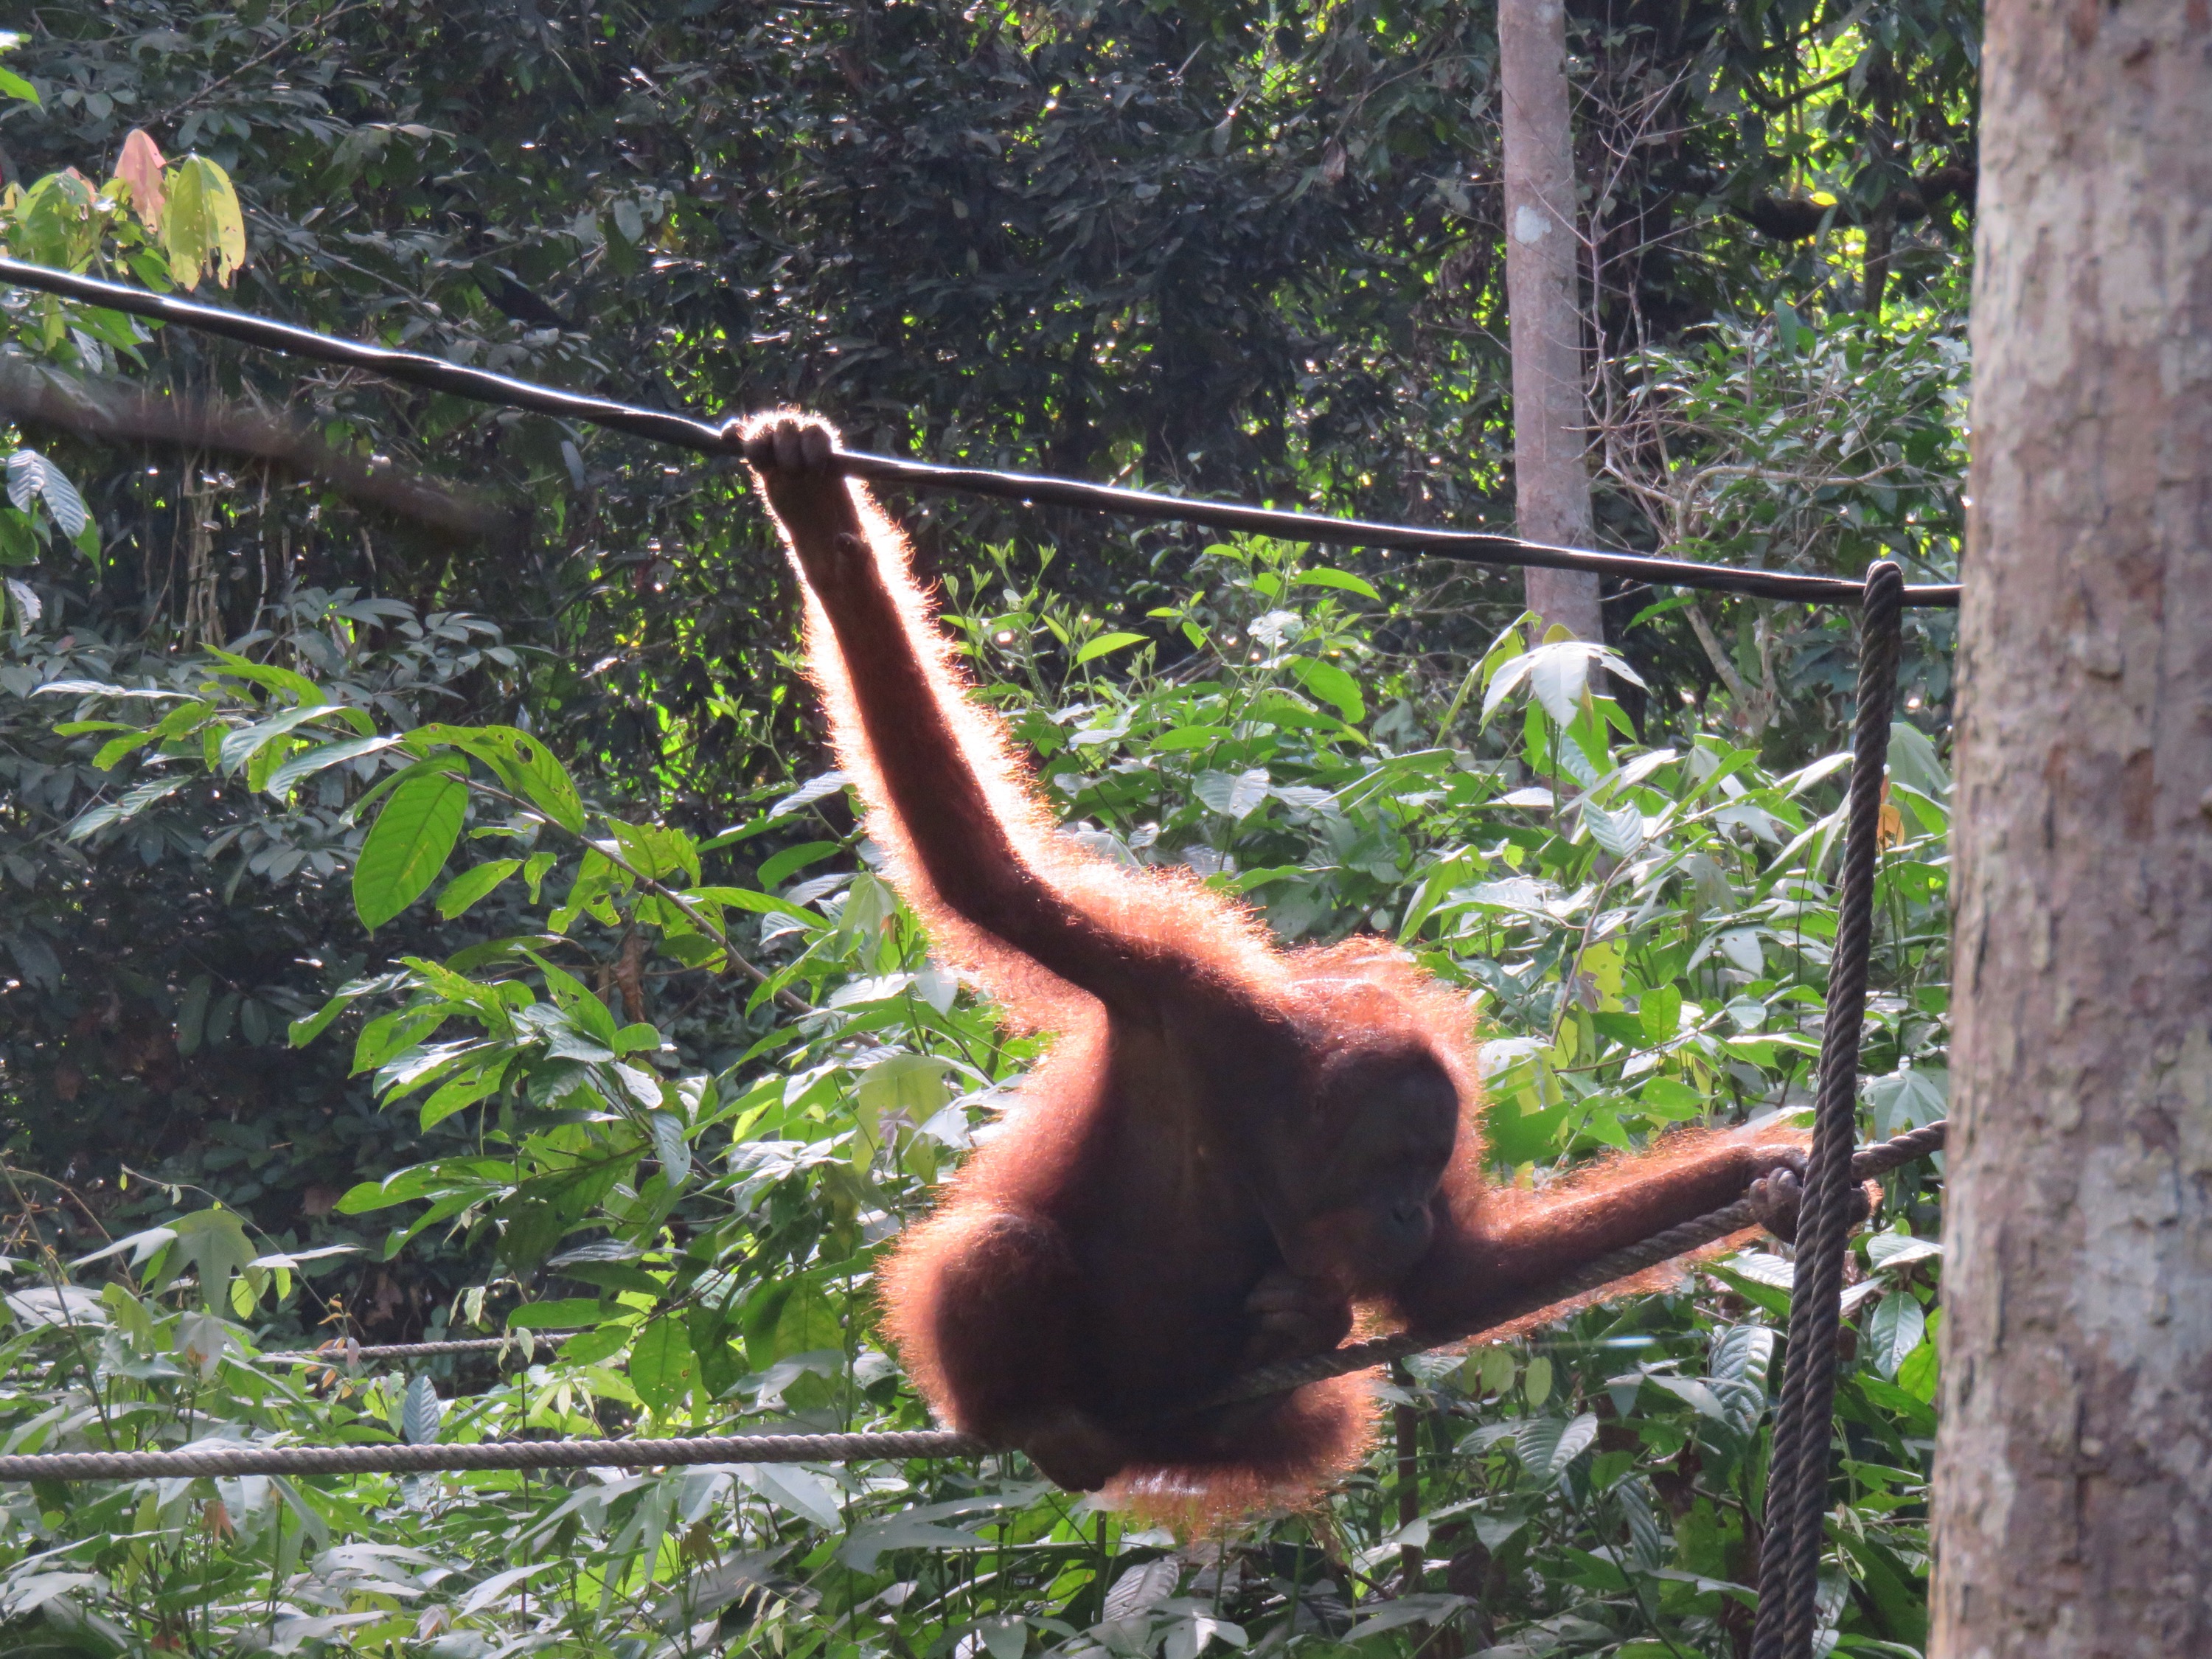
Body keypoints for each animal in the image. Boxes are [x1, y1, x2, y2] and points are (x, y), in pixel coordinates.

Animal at [737, 413, 1829, 1519]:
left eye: (1430, 1171)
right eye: (1399, 1161)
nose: (1408, 1211)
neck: (1273, 1122)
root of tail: (1131, 1443)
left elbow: (1461, 1280)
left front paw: (1771, 1172)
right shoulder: (1171, 984)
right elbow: (984, 879)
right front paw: (821, 523)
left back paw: (1285, 1345)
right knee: (998, 1245)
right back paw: (1039, 1418)